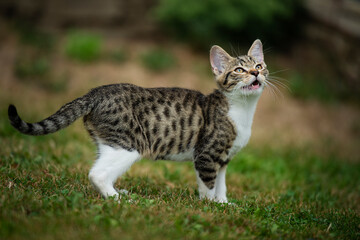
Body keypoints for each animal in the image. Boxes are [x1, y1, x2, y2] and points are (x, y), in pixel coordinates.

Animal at [7, 39, 268, 202]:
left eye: (259, 65)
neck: (243, 110)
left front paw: (223, 204)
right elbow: (208, 185)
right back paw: (118, 200)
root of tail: (95, 92)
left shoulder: (223, 158)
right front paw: (209, 207)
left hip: (109, 143)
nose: (256, 73)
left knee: (99, 169)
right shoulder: (207, 154)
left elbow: (222, 183)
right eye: (239, 70)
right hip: (129, 145)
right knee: (96, 174)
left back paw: (117, 194)